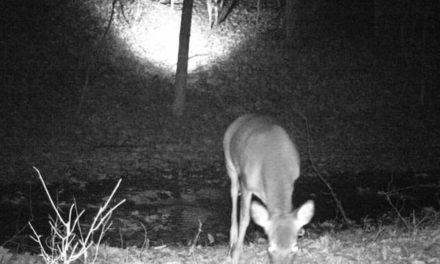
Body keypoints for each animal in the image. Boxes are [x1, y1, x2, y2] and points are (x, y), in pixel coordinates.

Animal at [225, 114, 314, 264]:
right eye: (270, 247)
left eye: (294, 247)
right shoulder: (247, 184)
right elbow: (245, 219)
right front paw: (235, 255)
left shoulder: (291, 183)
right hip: (230, 164)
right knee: (233, 194)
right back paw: (233, 241)